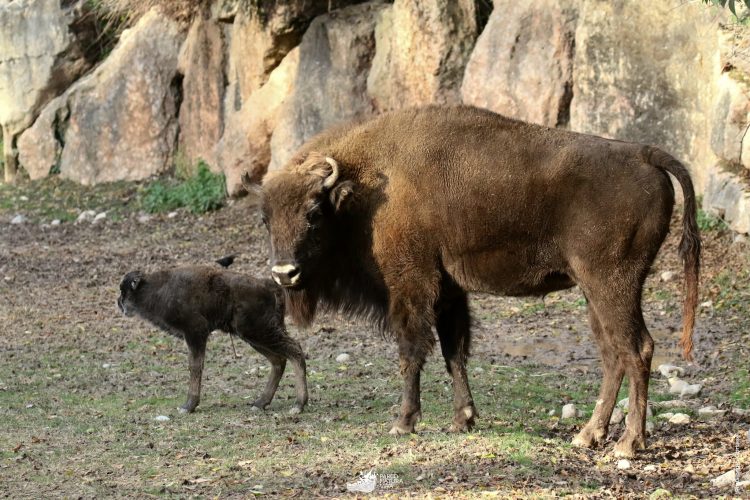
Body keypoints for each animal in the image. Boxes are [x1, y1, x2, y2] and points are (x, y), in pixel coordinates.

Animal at [115, 266, 308, 414]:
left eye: (124, 290)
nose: (118, 302)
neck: (156, 289)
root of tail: (270, 286)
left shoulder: (195, 332)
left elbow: (195, 366)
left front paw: (188, 406)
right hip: (253, 336)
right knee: (279, 360)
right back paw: (260, 403)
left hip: (258, 332)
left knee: (295, 351)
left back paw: (298, 405)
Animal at [254, 104, 704, 458]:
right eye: (266, 219)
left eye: (314, 213)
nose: (284, 273)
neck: (365, 185)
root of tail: (644, 154)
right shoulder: (449, 293)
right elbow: (454, 351)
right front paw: (463, 419)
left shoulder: (411, 285)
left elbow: (412, 350)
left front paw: (404, 422)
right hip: (594, 293)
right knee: (613, 354)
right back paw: (588, 435)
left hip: (613, 286)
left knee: (637, 348)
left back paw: (628, 444)